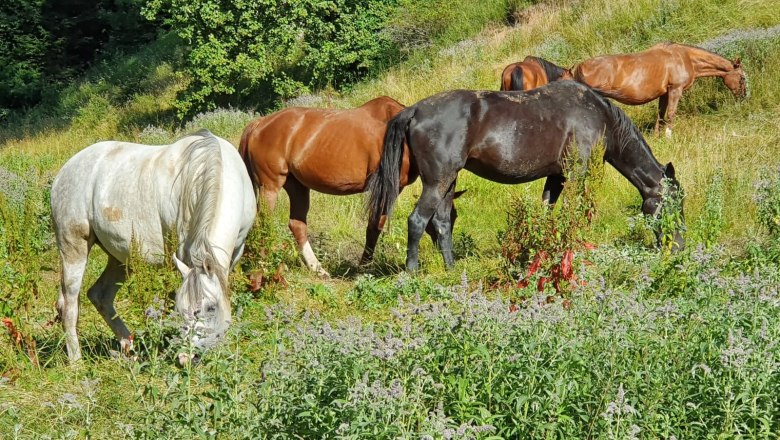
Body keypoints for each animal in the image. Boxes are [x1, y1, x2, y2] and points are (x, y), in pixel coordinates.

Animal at [50, 129, 258, 362]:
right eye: (181, 310)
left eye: (211, 308)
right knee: (69, 305)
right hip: (73, 248)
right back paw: (76, 361)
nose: (186, 358)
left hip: (120, 258)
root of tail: (64, 172)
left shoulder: (234, 254)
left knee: (100, 295)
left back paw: (129, 348)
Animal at [235, 96, 460, 276]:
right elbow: (374, 226)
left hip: (298, 187)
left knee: (297, 224)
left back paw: (317, 269)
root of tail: (258, 125)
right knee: (263, 223)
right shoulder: (387, 189)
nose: (443, 253)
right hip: (270, 186)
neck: (401, 134)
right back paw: (264, 264)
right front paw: (364, 266)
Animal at [366, 80, 684, 270]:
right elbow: (573, 213)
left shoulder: (556, 177)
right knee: (417, 221)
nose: (678, 247)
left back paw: (451, 268)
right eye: (675, 204)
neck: (598, 115)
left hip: (447, 183)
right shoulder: (576, 173)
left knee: (442, 224)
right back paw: (412, 271)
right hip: (437, 182)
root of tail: (415, 110)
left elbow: (547, 214)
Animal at [572, 43, 748, 137]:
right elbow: (671, 114)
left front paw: (657, 136)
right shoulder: (675, 89)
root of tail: (580, 66)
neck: (685, 57)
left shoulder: (664, 93)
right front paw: (669, 135)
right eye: (742, 78)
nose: (744, 97)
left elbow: (660, 115)